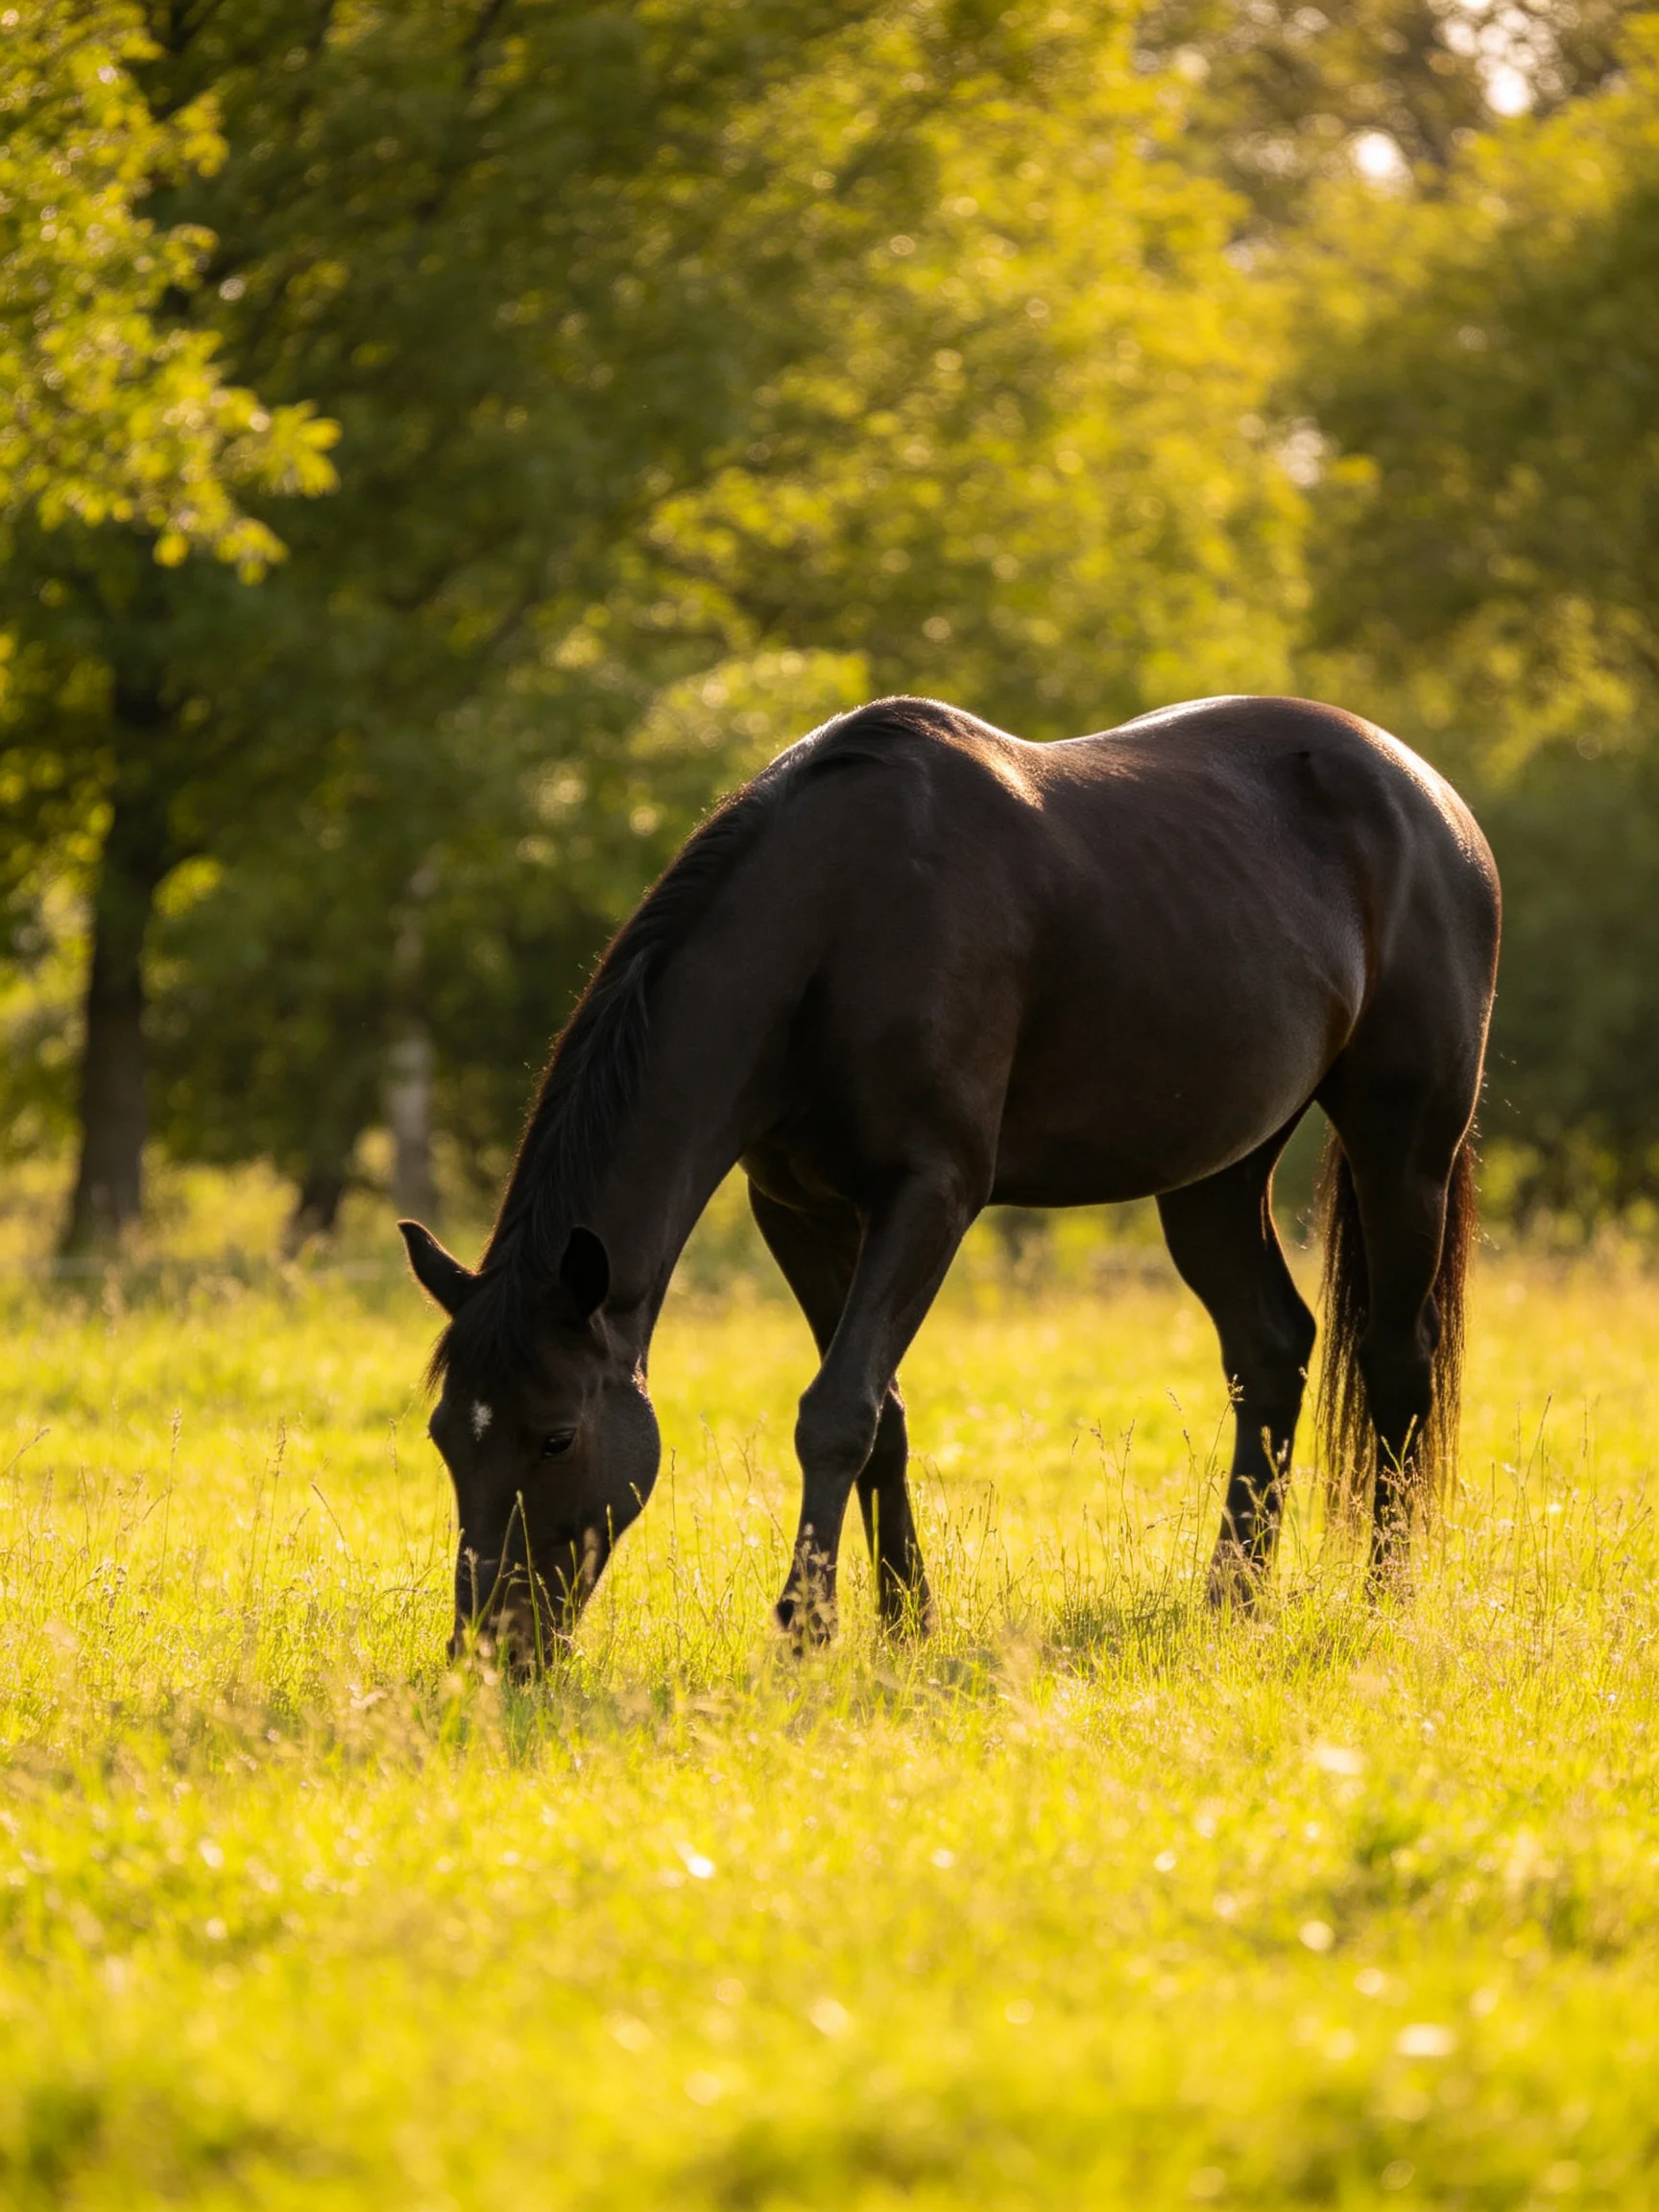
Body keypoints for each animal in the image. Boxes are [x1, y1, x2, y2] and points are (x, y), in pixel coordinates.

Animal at [400, 693, 1500, 1666]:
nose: (492, 1653)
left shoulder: (931, 1195)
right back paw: (1234, 1597)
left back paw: (1385, 1599)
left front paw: (803, 1634)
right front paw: (903, 1624)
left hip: (1405, 1149)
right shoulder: (796, 1211)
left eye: (555, 1437)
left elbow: (836, 1411)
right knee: (1271, 1352)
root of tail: (1428, 795)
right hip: (1214, 1177)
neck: (837, 924)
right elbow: (879, 1418)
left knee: (1398, 1361)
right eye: (448, 1436)